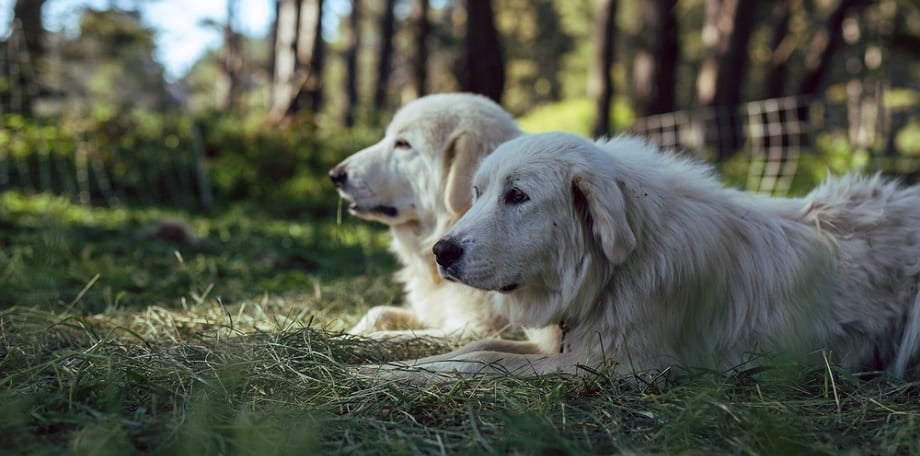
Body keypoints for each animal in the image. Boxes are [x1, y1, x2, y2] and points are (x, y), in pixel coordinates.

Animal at [372, 132, 920, 382]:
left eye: (518, 196)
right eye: (478, 193)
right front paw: (383, 371)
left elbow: (484, 361)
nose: (441, 251)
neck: (612, 271)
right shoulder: (566, 347)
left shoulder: (608, 367)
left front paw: (373, 376)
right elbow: (474, 348)